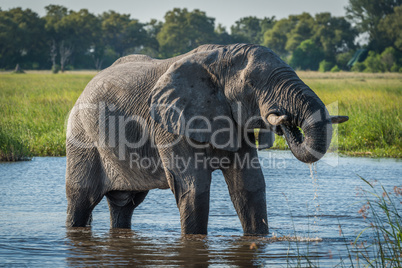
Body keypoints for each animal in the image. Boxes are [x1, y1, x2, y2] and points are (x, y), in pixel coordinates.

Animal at [65, 43, 346, 234]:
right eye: (251, 85)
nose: (283, 118)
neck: (219, 56)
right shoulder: (170, 125)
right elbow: (194, 187)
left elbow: (250, 186)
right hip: (81, 137)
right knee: (82, 199)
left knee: (125, 204)